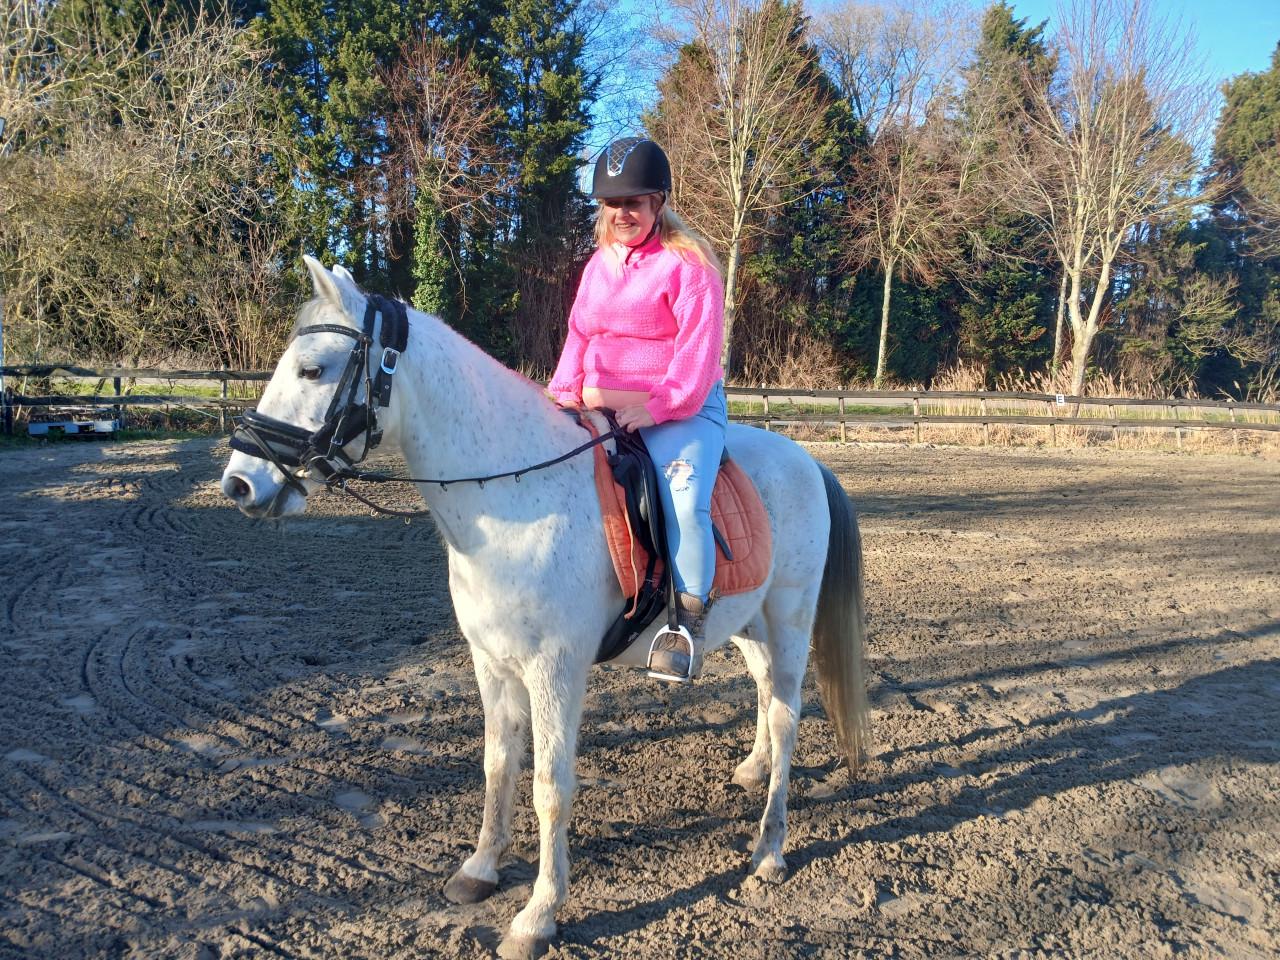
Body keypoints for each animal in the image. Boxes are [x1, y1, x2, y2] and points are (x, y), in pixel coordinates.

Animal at [220, 256, 869, 959]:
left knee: (786, 715)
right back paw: (752, 770)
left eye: (313, 370)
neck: (516, 496)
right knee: (763, 694)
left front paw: (537, 916)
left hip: (789, 620)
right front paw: (479, 870)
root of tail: (806, 461)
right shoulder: (492, 663)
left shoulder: (554, 671)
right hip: (747, 624)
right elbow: (498, 765)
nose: (239, 484)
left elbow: (550, 788)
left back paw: (769, 850)